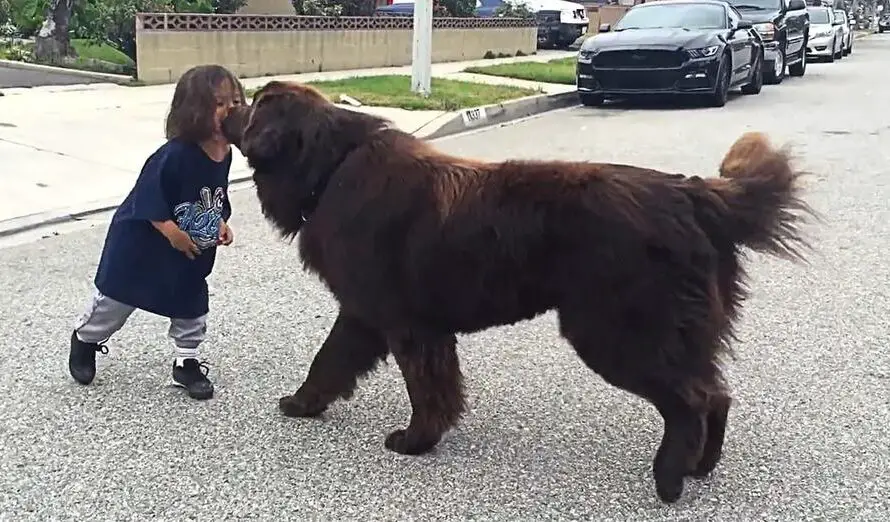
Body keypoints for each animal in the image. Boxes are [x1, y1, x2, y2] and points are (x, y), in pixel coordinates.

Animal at [222, 80, 812, 500]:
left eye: (252, 105)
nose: (226, 107)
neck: (331, 166)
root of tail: (693, 194)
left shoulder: (403, 321)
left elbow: (420, 387)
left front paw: (415, 442)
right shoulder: (370, 314)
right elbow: (331, 363)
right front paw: (304, 404)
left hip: (617, 332)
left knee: (690, 399)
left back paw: (668, 479)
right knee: (715, 392)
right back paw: (700, 467)